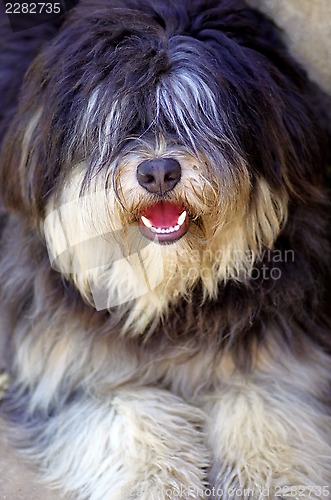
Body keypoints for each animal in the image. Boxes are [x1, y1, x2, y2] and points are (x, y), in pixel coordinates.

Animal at [0, 0, 331, 500]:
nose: (158, 172)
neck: (169, 291)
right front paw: (160, 483)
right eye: (116, 121)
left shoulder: (280, 368)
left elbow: (266, 420)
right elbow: (136, 423)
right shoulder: (72, 375)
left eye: (197, 115)